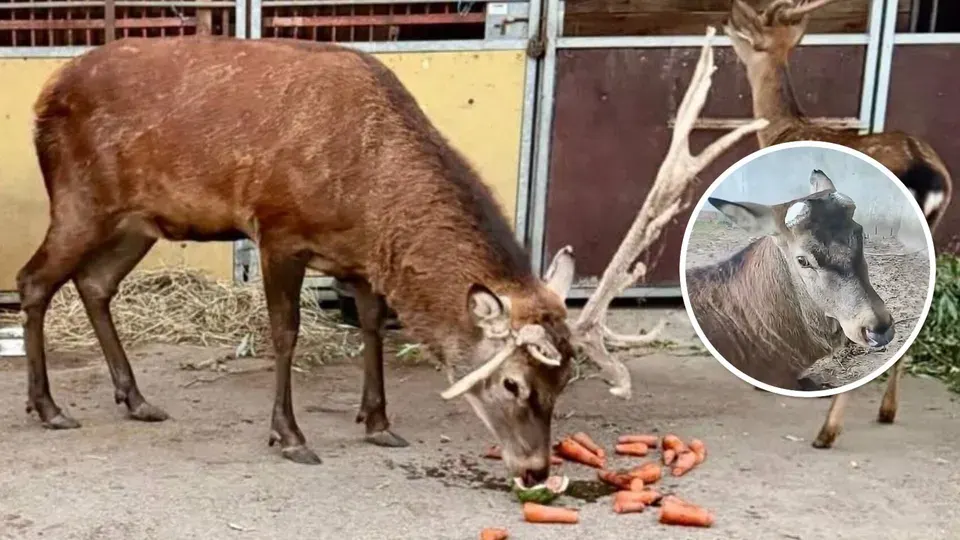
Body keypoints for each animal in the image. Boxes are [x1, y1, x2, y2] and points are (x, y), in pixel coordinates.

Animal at [723, 0, 951, 449]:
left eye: (750, 37)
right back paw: (886, 411)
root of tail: (927, 172)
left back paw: (827, 431)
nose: (727, 24)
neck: (783, 130)